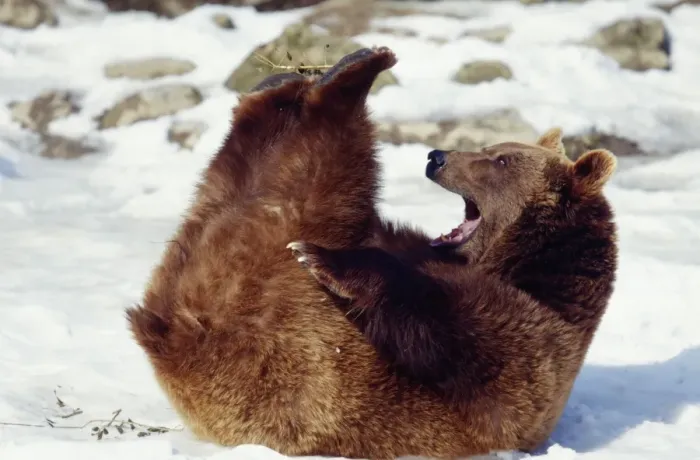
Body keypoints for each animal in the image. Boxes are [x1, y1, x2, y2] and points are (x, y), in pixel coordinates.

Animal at [125, 45, 619, 459]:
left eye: (500, 161)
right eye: (491, 147)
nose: (437, 157)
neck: (527, 269)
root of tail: (168, 330)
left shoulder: (531, 350)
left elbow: (453, 333)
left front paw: (326, 260)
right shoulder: (412, 245)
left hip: (262, 323)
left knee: (309, 167)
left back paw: (349, 75)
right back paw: (298, 80)